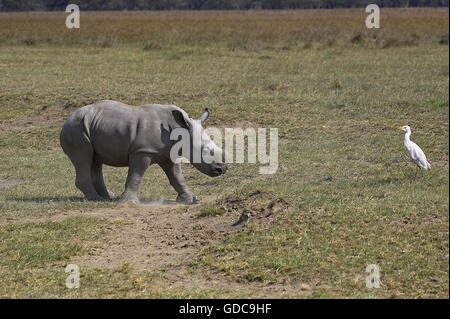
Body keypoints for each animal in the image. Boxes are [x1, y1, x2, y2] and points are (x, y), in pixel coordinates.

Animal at [60, 100, 229, 205]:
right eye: (206, 151)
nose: (223, 169)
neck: (178, 129)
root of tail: (67, 120)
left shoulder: (169, 154)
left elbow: (177, 177)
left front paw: (192, 199)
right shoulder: (142, 151)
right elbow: (136, 176)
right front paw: (129, 202)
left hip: (90, 127)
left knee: (95, 161)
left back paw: (109, 197)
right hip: (76, 130)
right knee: (84, 158)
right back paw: (96, 199)